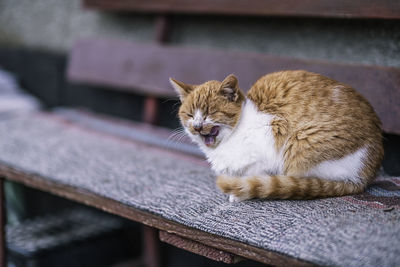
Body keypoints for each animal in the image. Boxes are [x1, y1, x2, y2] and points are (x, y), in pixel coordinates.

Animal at [170, 70, 382, 202]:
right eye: (190, 115)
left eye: (210, 112)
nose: (197, 126)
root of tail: (364, 176)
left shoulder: (271, 140)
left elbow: (255, 176)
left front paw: (238, 192)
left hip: (300, 142)